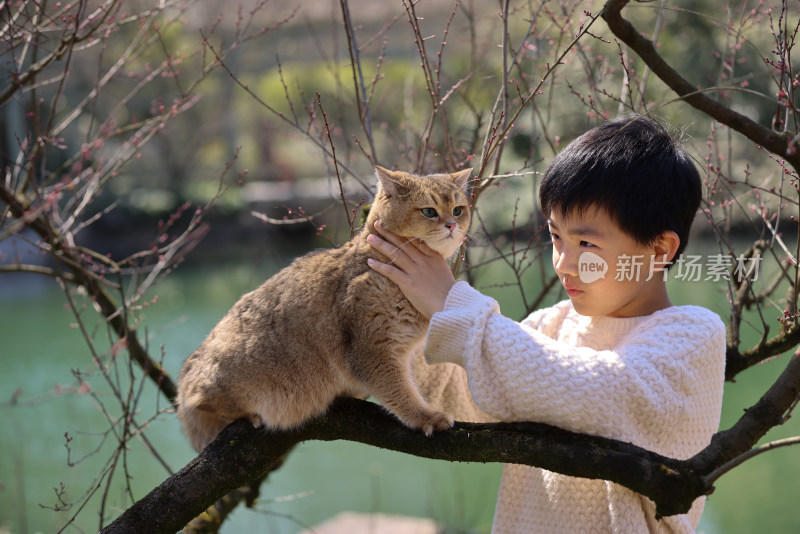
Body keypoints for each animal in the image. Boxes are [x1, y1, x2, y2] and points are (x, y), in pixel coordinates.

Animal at [177, 166, 468, 452]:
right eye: (429, 211)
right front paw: (426, 417)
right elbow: (401, 392)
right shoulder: (373, 351)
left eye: (457, 210)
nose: (452, 225)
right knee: (199, 401)